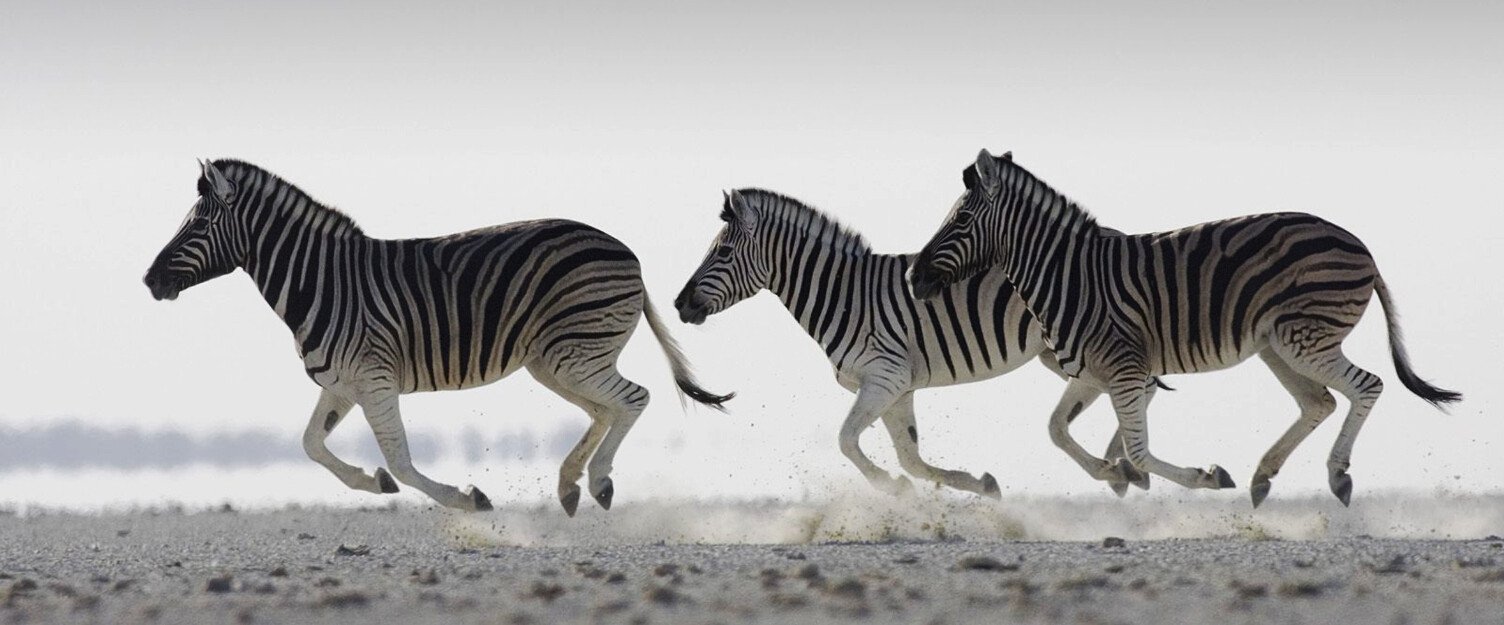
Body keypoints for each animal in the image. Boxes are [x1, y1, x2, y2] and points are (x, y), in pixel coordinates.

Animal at [142, 159, 732, 515]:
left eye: (197, 225)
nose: (149, 281)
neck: (321, 281)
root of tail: (624, 249)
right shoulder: (341, 385)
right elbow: (311, 444)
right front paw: (373, 482)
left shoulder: (375, 380)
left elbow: (402, 460)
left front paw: (466, 498)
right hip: (555, 360)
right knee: (605, 409)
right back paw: (571, 484)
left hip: (573, 353)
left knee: (633, 398)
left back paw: (599, 481)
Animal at [674, 188, 1156, 498]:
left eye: (721, 253)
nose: (679, 304)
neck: (843, 294)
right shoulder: (896, 388)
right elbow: (910, 456)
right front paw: (980, 485)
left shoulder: (884, 377)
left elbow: (847, 441)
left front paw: (891, 487)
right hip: (1059, 352)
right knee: (1136, 388)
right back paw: (1120, 468)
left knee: (1139, 387)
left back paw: (1122, 467)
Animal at [909, 149, 1461, 507]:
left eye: (960, 221)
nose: (914, 278)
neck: (1068, 276)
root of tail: (1359, 243)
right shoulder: (1091, 373)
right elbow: (1058, 430)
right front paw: (1114, 473)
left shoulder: (1124, 368)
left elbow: (1139, 451)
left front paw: (1200, 476)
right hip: (1278, 346)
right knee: (1319, 402)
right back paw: (1263, 478)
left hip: (1304, 338)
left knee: (1367, 385)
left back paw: (1338, 475)